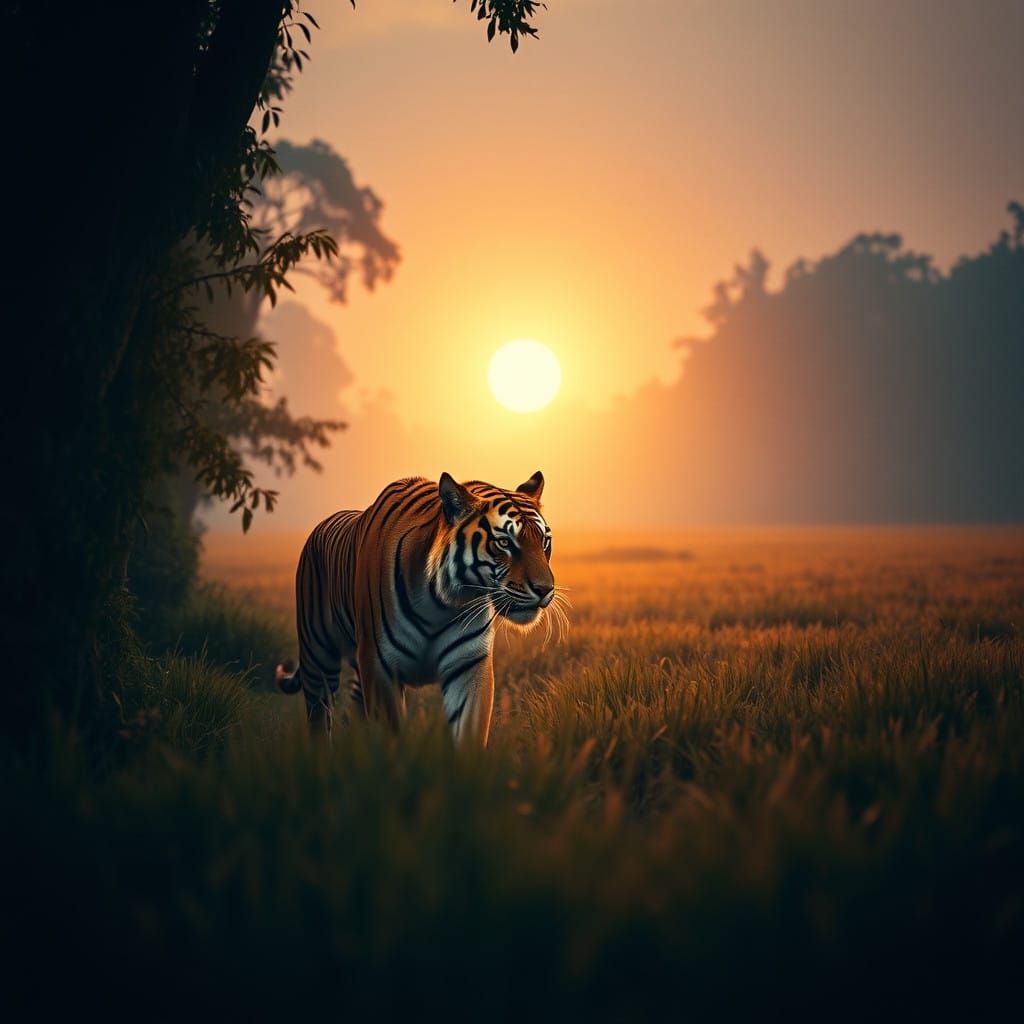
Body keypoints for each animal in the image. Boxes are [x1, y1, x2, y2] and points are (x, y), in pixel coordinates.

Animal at [275, 471, 558, 745]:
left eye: (544, 542)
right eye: (504, 543)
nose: (545, 590)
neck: (442, 604)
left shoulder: (468, 664)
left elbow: (469, 735)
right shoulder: (380, 666)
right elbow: (389, 737)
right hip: (318, 659)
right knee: (319, 720)